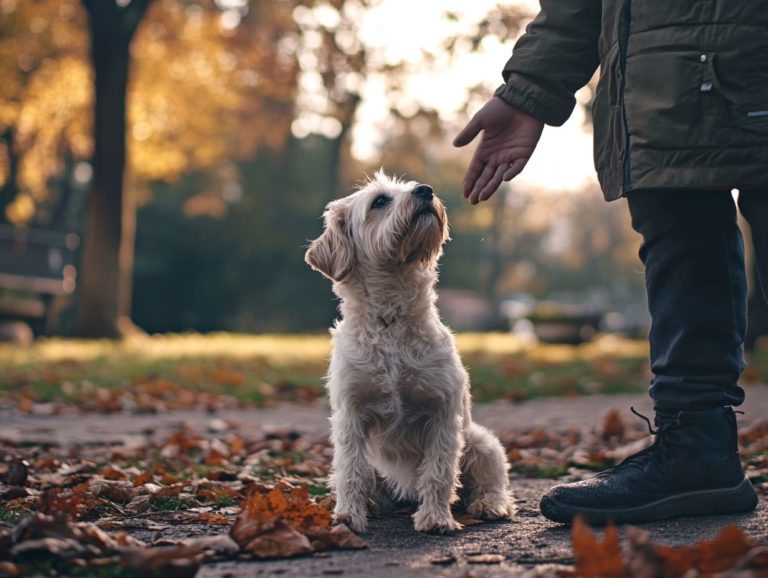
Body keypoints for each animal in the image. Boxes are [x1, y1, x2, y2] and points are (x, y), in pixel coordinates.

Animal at [306, 172, 516, 532]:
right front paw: (348, 515)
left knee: (491, 482)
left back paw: (490, 504)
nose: (425, 191)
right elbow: (351, 470)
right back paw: (372, 504)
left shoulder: (442, 413)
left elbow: (439, 472)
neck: (392, 319)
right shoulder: (351, 414)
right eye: (379, 201)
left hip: (481, 443)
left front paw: (435, 518)